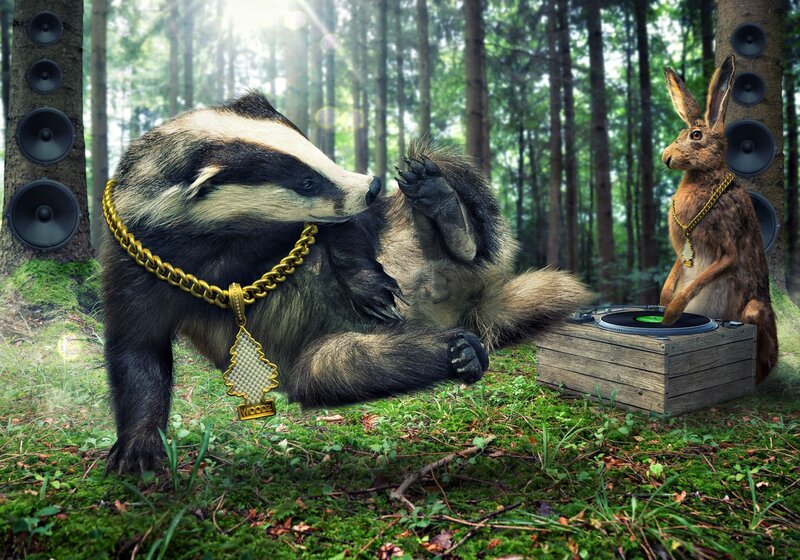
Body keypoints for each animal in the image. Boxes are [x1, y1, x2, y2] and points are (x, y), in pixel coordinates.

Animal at [659, 54, 778, 383]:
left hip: (754, 312)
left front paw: (670, 313)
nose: (666, 157)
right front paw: (662, 301)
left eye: (696, 135)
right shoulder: (683, 251)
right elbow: (676, 271)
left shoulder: (728, 248)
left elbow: (702, 279)